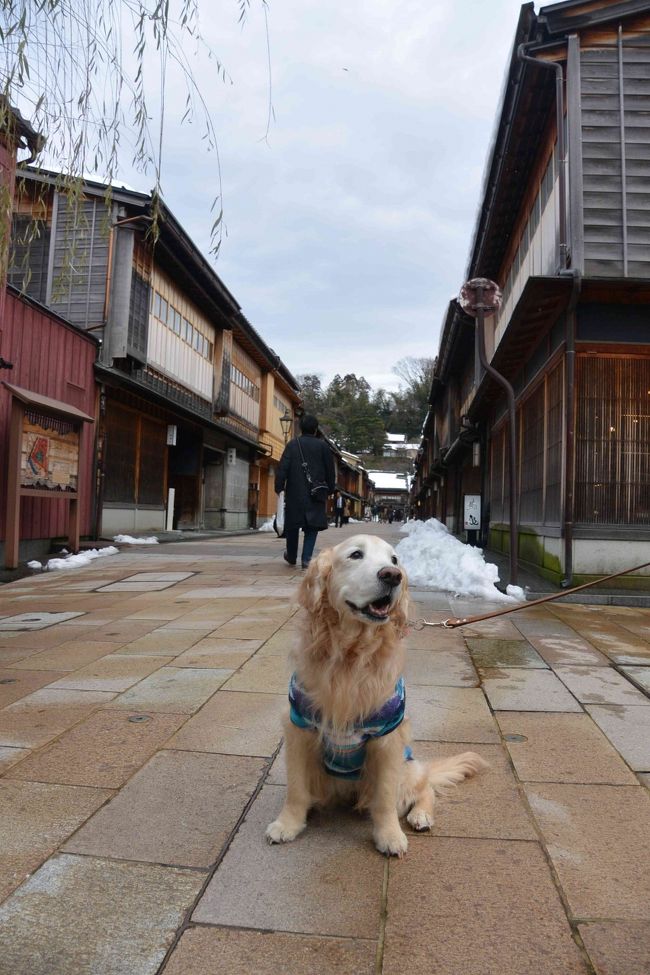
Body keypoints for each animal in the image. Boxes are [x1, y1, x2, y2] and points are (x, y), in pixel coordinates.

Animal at [264, 532, 486, 856]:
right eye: (356, 555)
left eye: (394, 560)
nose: (392, 575)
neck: (350, 655)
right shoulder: (299, 726)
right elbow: (296, 788)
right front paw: (287, 824)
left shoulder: (387, 737)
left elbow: (384, 799)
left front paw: (389, 835)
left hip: (408, 767)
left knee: (424, 788)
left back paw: (421, 816)